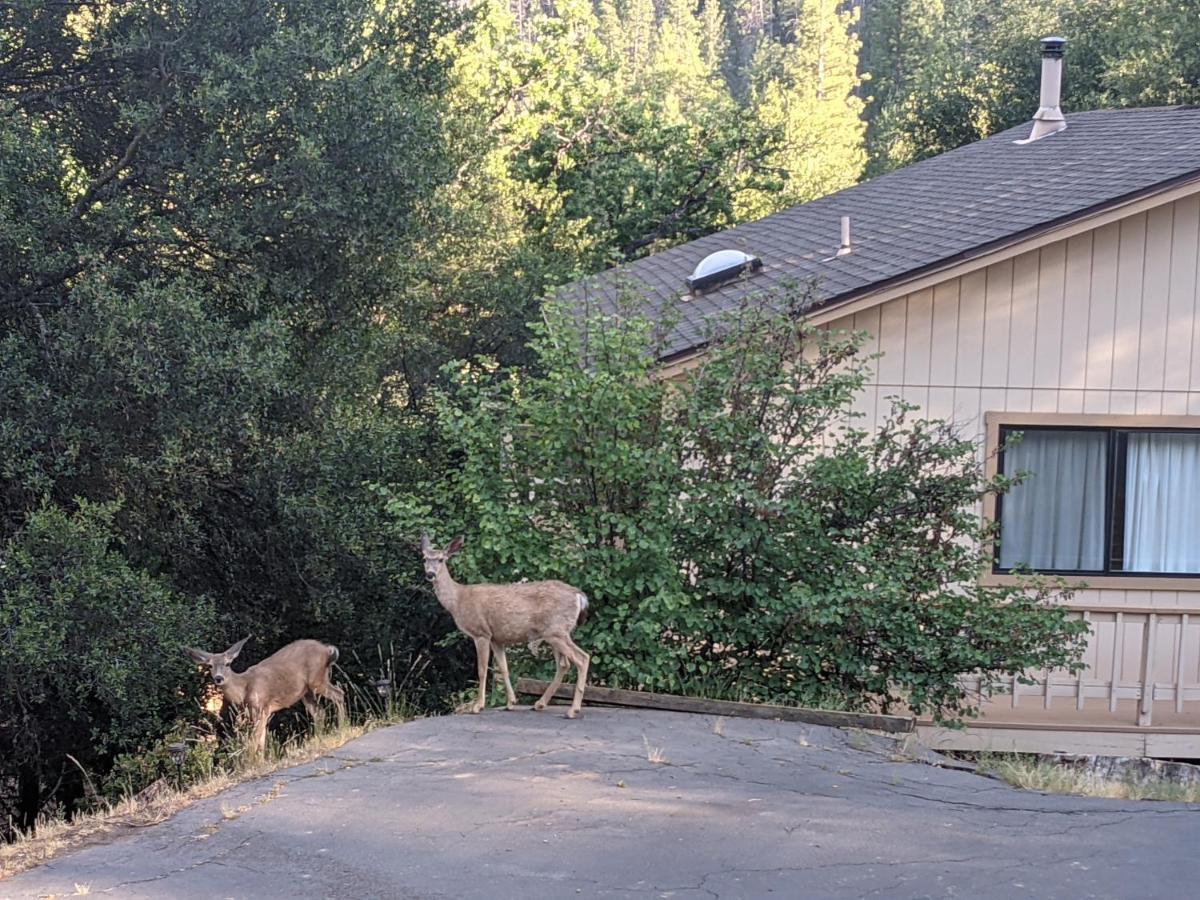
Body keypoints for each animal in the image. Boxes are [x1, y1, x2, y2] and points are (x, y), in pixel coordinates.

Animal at [182, 638, 345, 758]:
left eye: (227, 663)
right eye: (210, 666)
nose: (218, 678)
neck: (244, 688)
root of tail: (327, 649)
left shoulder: (261, 708)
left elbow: (254, 741)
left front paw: (250, 763)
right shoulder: (261, 712)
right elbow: (261, 740)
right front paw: (261, 762)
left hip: (317, 680)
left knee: (339, 694)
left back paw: (341, 727)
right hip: (306, 691)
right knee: (319, 712)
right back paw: (319, 738)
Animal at [422, 535, 590, 720]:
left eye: (441, 559)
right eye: (424, 558)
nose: (430, 574)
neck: (458, 600)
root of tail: (579, 595)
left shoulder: (481, 633)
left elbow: (482, 670)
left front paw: (477, 706)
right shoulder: (497, 638)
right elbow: (504, 668)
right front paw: (511, 703)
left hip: (556, 630)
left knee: (582, 658)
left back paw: (572, 710)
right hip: (555, 632)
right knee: (564, 664)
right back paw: (540, 704)